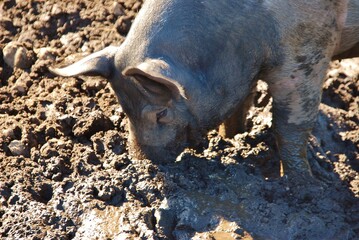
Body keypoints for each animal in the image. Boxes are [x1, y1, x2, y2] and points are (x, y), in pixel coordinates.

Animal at [48, 0, 359, 176]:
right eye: (125, 111)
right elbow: (240, 105)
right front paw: (233, 137)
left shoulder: (307, 52)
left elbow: (289, 125)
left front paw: (304, 186)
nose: (142, 163)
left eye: (161, 113)